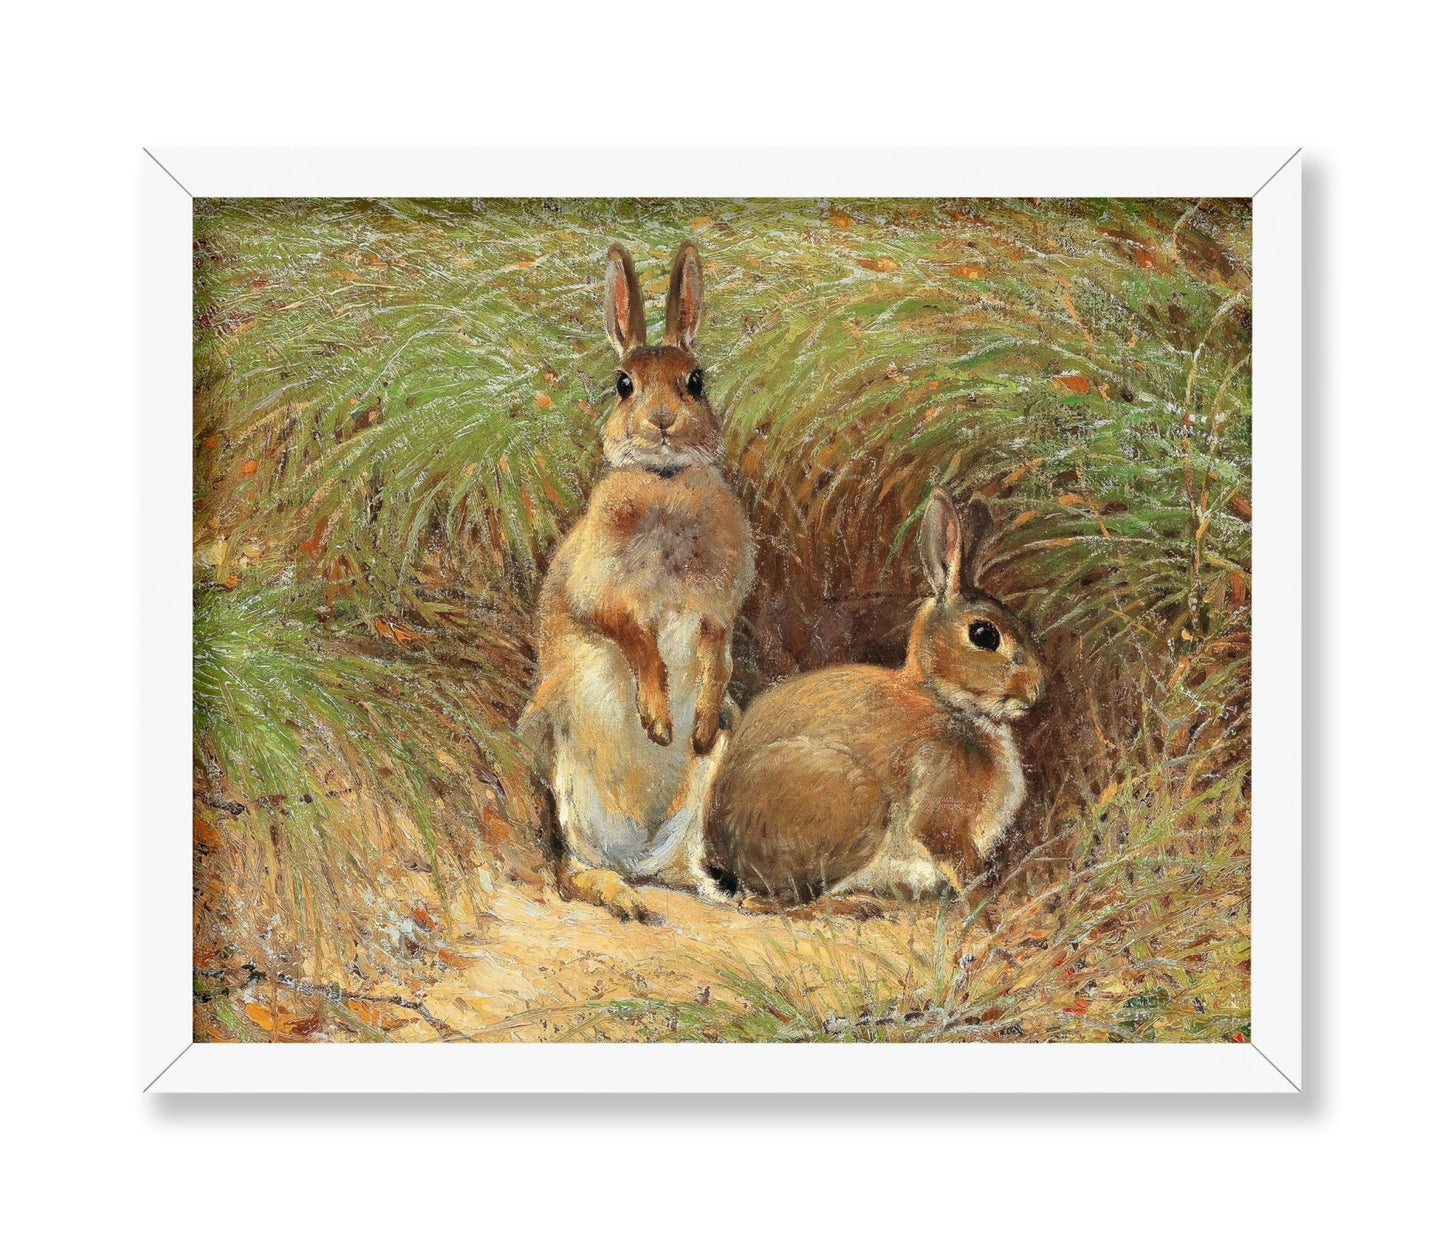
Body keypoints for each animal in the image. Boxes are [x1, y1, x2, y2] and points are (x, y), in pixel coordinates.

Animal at [519, 241, 755, 923]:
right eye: (623, 384)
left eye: (696, 380)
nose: (664, 422)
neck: (665, 483)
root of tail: (639, 854)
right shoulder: (597, 595)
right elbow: (635, 638)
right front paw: (657, 721)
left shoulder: (717, 612)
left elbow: (717, 654)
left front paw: (692, 726)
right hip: (564, 765)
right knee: (571, 868)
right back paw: (620, 896)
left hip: (701, 790)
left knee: (682, 865)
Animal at [704, 488, 1044, 914]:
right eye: (984, 634)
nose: (1036, 691)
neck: (944, 700)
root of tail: (722, 854)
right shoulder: (940, 811)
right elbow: (960, 862)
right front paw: (986, 905)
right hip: (854, 803)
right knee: (785, 902)